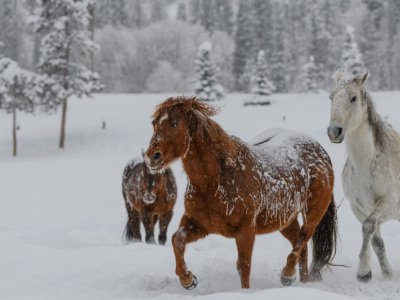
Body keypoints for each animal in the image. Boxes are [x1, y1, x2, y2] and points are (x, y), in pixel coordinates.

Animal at [145, 96, 338, 288]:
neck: (215, 181)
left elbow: (243, 266)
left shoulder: (245, 231)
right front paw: (188, 279)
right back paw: (302, 282)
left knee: (303, 239)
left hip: (313, 214)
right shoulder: (198, 224)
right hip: (284, 220)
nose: (152, 157)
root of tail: (320, 151)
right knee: (301, 247)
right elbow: (177, 240)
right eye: (154, 123)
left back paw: (287, 275)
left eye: (174, 123)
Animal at [328, 71, 400, 282]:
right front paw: (386, 273)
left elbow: (368, 227)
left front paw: (363, 271)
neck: (366, 166)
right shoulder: (359, 207)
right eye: (331, 97)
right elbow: (376, 241)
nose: (334, 131)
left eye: (353, 98)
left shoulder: (388, 202)